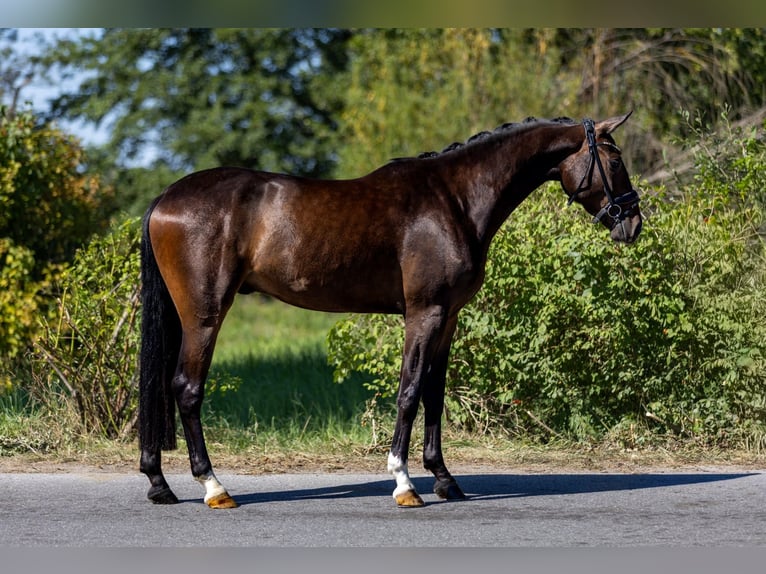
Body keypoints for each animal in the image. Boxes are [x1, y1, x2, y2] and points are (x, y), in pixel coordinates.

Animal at [138, 113, 642, 509]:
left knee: (164, 386)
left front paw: (444, 479)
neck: (454, 199)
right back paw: (213, 487)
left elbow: (434, 395)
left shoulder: (448, 317)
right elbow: (409, 391)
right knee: (186, 389)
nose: (633, 223)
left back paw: (160, 483)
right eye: (615, 160)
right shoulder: (424, 313)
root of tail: (164, 198)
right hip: (204, 315)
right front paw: (404, 483)